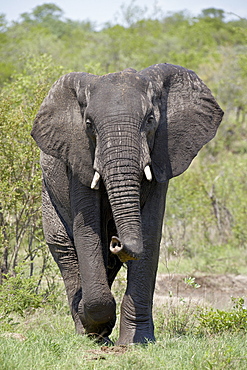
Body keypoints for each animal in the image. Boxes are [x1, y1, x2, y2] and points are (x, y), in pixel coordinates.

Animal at [31, 62, 224, 344]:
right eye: (88, 124)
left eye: (150, 120)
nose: (116, 239)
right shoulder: (78, 156)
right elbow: (86, 231)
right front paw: (95, 326)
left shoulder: (162, 155)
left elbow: (150, 231)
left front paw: (137, 342)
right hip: (48, 192)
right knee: (64, 248)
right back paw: (87, 330)